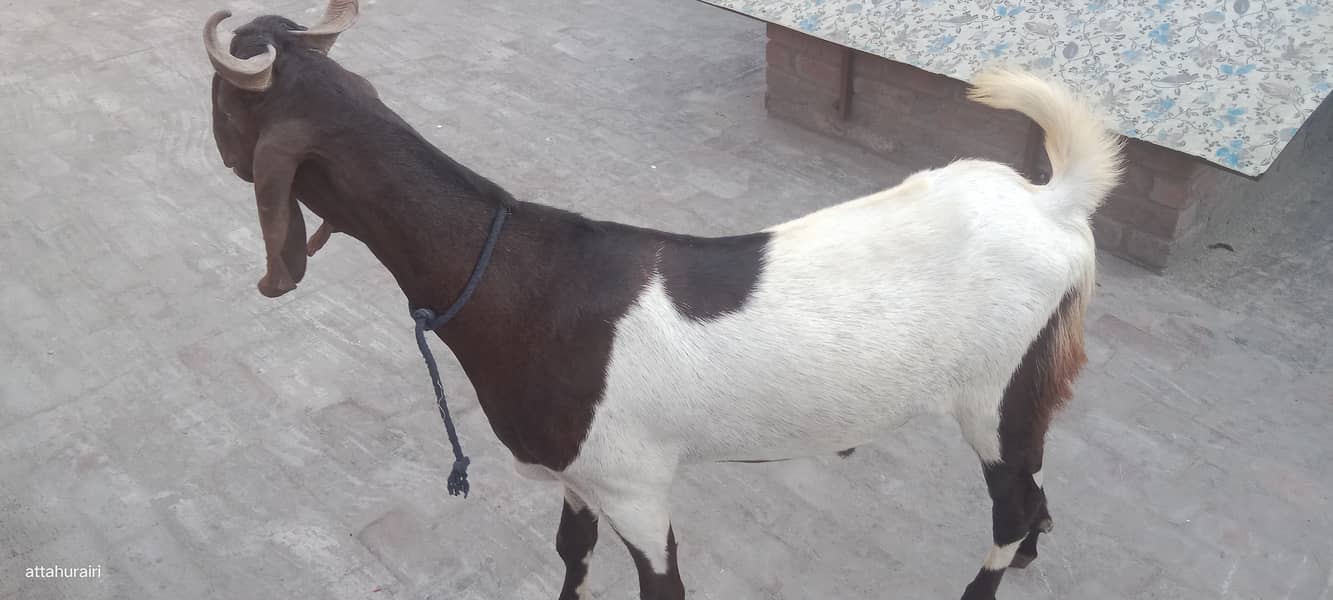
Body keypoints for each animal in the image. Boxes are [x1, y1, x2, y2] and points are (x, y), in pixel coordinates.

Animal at [202, 2, 1122, 598]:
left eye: (223, 106)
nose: (221, 155)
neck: (512, 278)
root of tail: (1051, 201)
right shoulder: (579, 474)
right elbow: (570, 552)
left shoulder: (635, 486)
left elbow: (661, 585)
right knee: (1030, 491)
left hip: (993, 389)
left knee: (1009, 503)